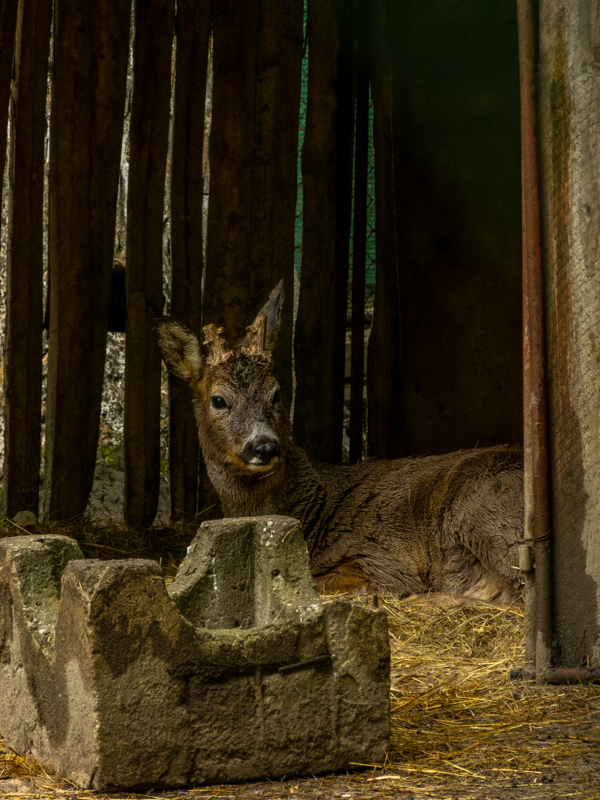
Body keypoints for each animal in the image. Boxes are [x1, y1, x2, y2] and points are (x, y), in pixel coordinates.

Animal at [157, 281, 524, 602]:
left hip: (482, 506)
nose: (264, 446)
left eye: (276, 393)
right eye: (218, 400)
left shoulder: (379, 559)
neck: (312, 515)